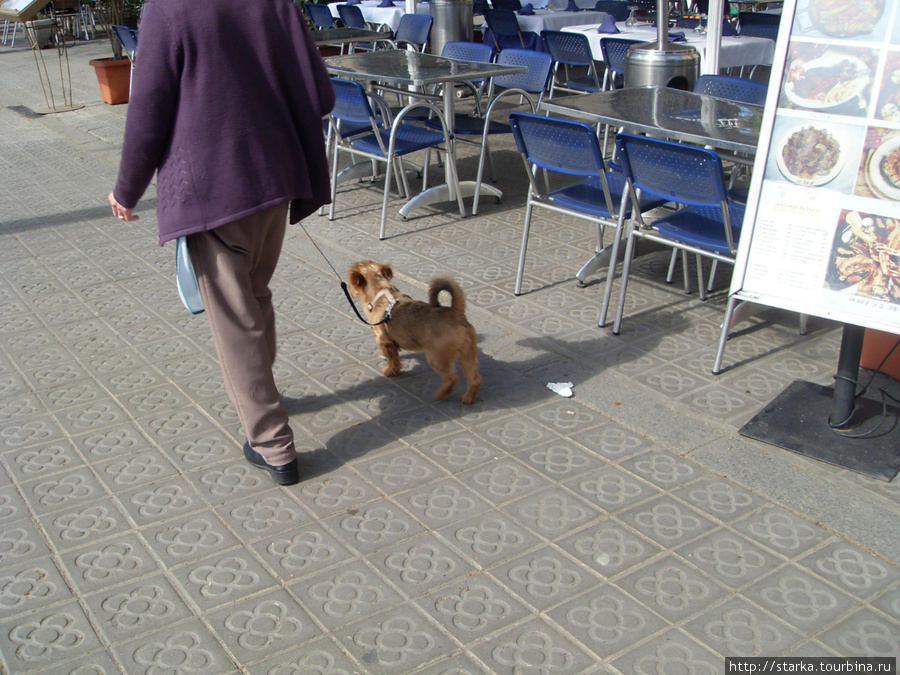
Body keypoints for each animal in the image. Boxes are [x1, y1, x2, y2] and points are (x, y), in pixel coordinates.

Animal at [348, 262, 482, 404]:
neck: (381, 293)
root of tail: (456, 314)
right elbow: (396, 358)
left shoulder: (384, 341)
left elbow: (392, 359)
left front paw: (390, 371)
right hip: (467, 354)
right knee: (474, 378)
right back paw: (468, 397)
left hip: (436, 357)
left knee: (451, 377)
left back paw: (441, 394)